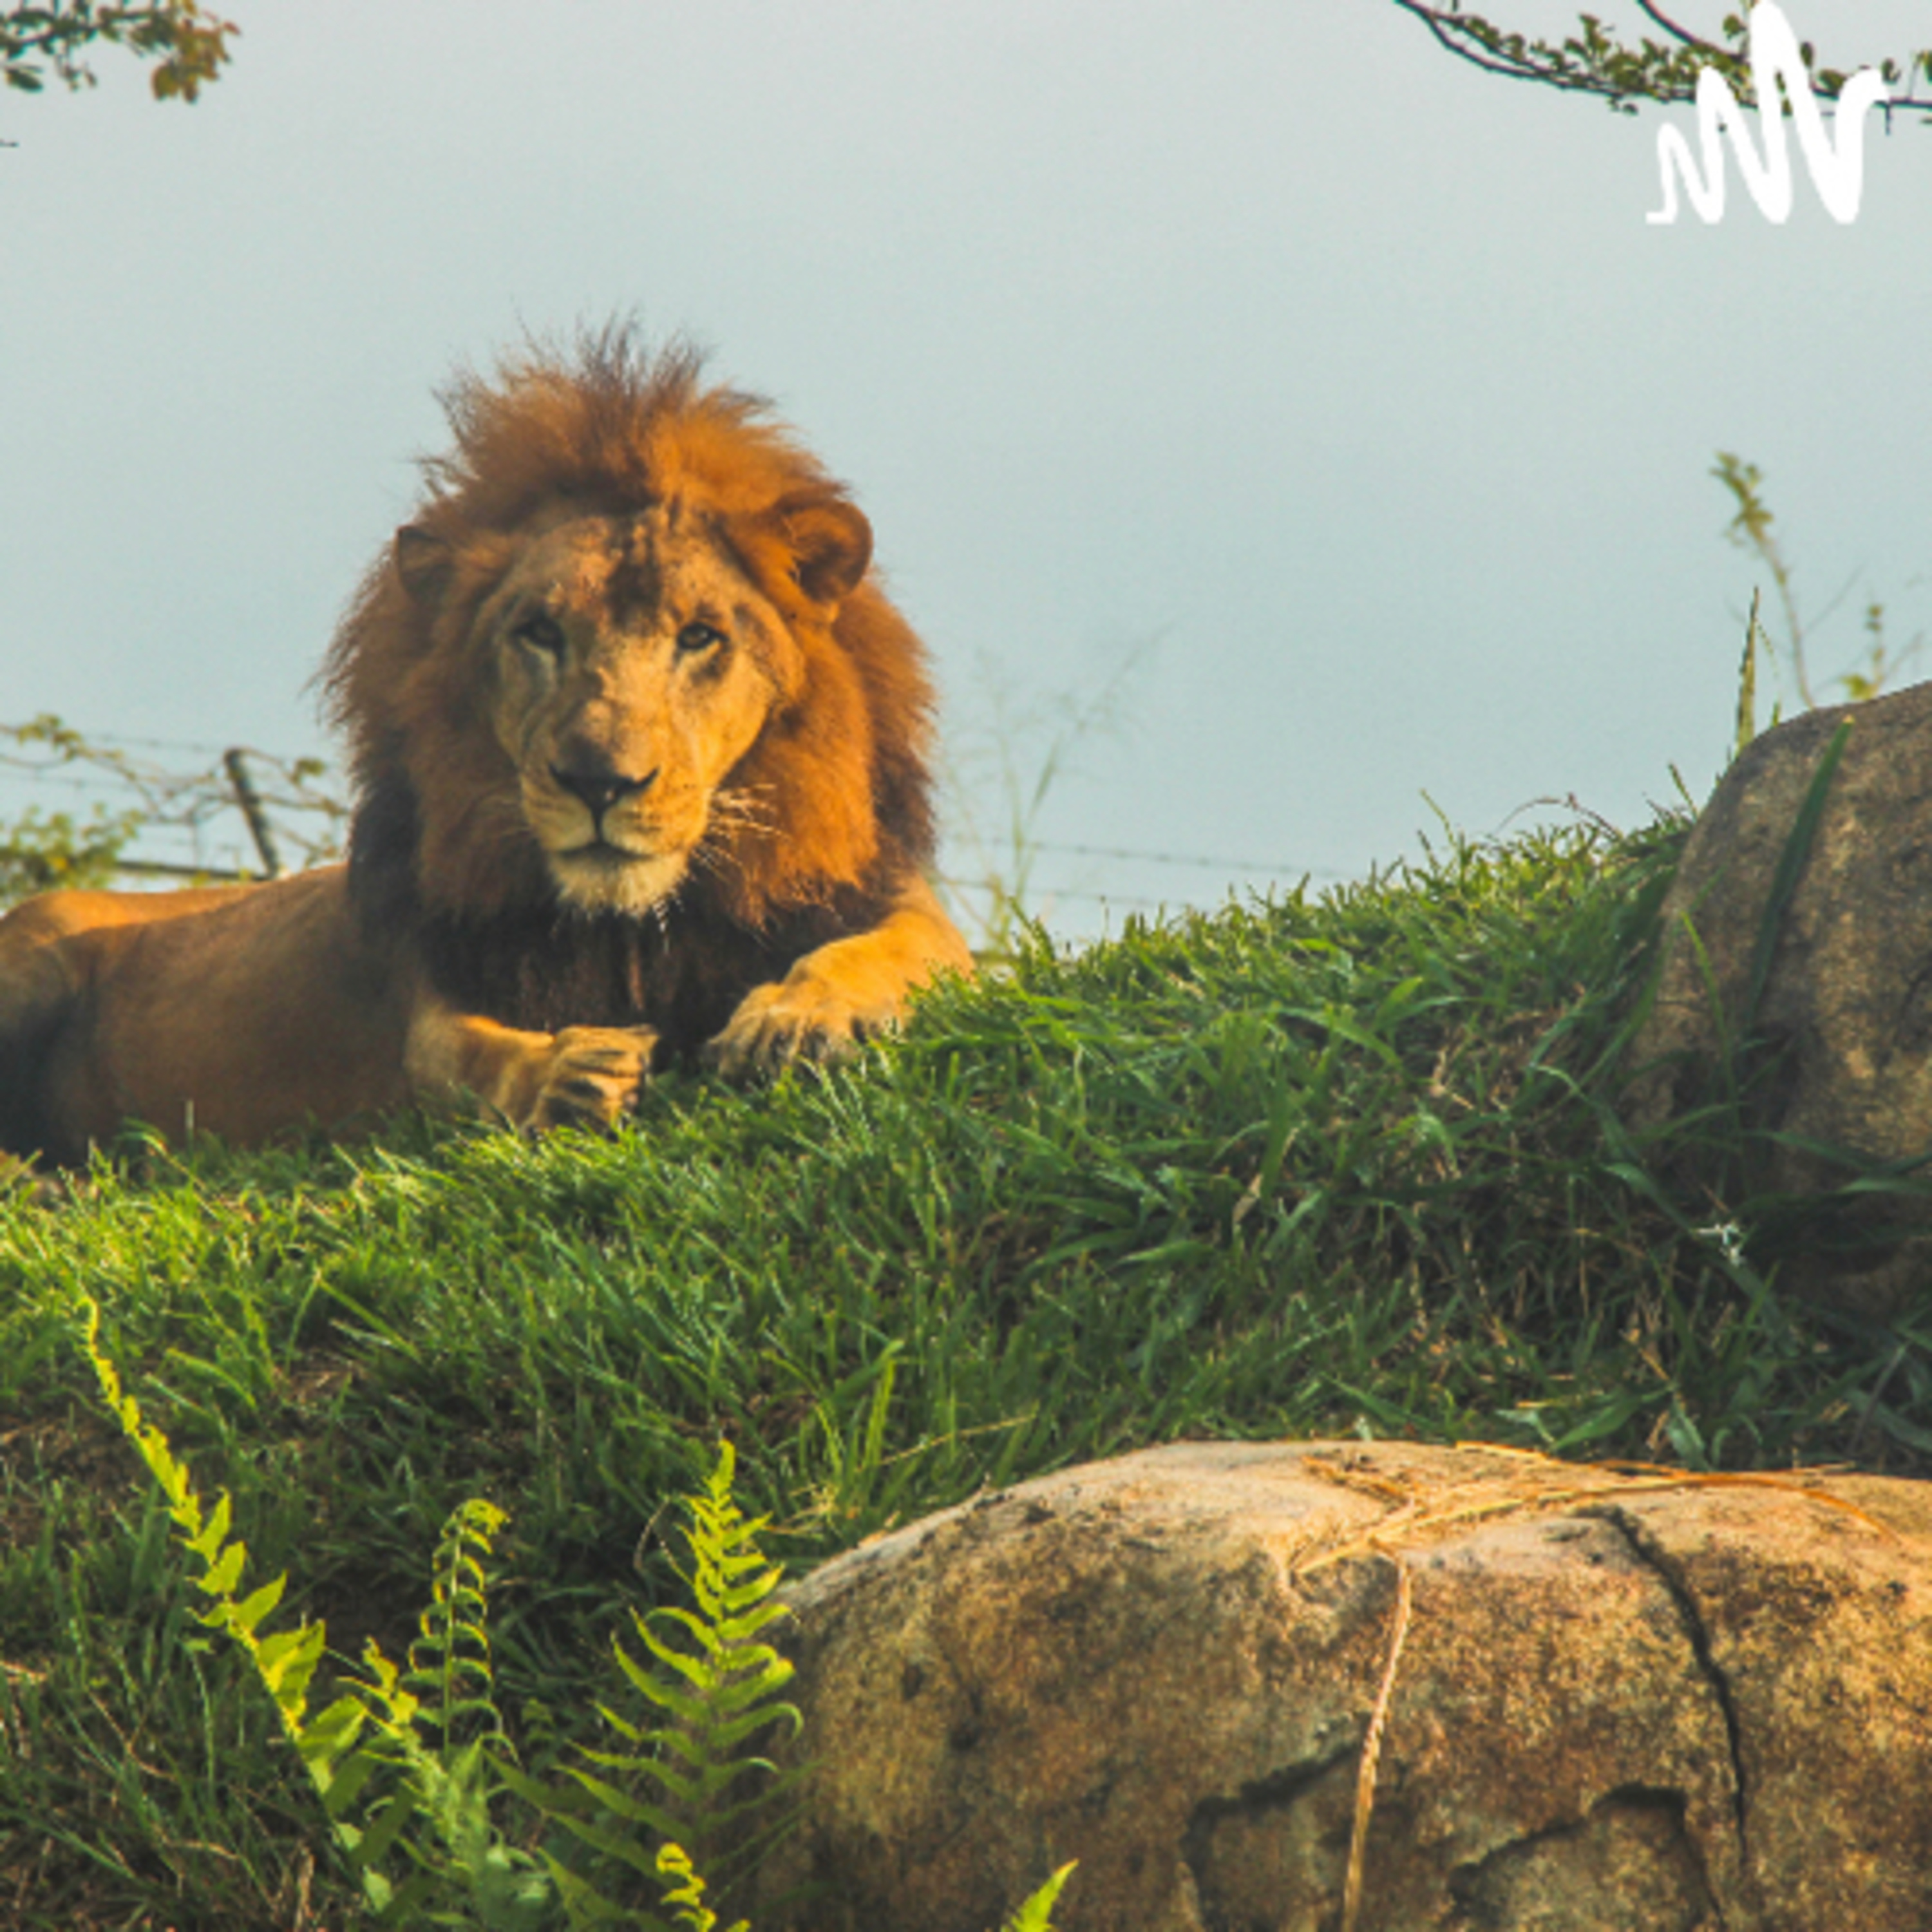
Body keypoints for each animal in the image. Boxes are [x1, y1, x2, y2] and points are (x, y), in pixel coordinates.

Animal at [0, 331, 973, 1165]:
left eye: (700, 638)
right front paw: (576, 1075)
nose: (600, 782)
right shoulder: (426, 983)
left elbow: (890, 953)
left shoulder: (898, 908)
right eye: (540, 633)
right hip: (32, 952)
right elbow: (459, 1057)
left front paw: (796, 1021)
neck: (630, 934)